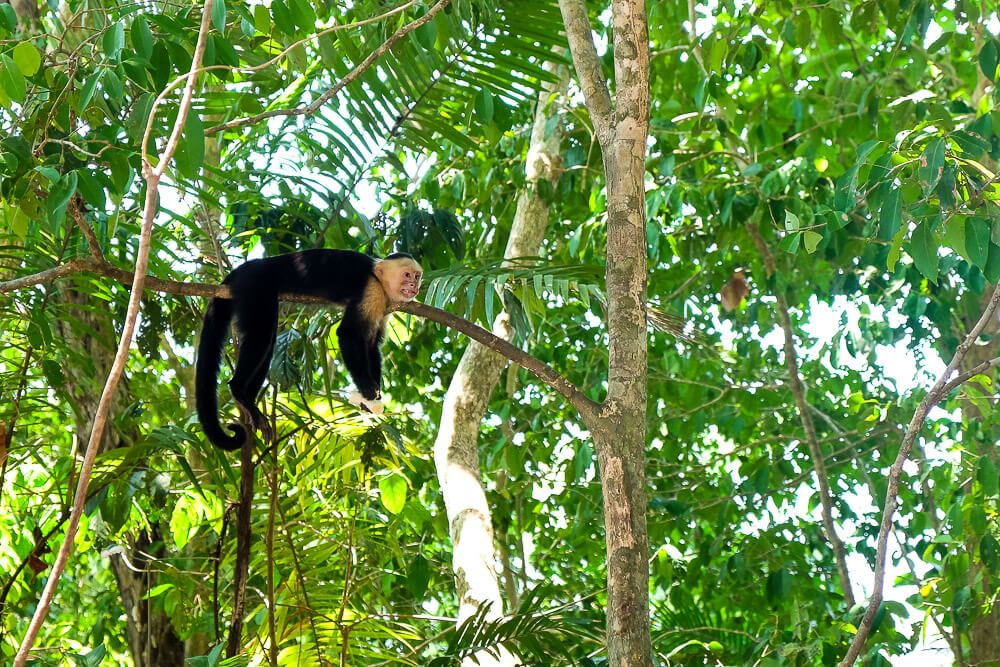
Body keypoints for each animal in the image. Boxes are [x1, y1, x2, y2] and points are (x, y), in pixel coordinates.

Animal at [195, 248, 422, 452]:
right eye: (407, 275)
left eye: (417, 276)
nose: (414, 285)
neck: (379, 279)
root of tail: (250, 267)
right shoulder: (371, 292)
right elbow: (348, 334)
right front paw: (366, 387)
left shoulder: (386, 305)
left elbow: (372, 343)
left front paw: (372, 398)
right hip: (254, 287)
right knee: (261, 335)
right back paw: (239, 391)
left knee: (267, 341)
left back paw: (250, 406)